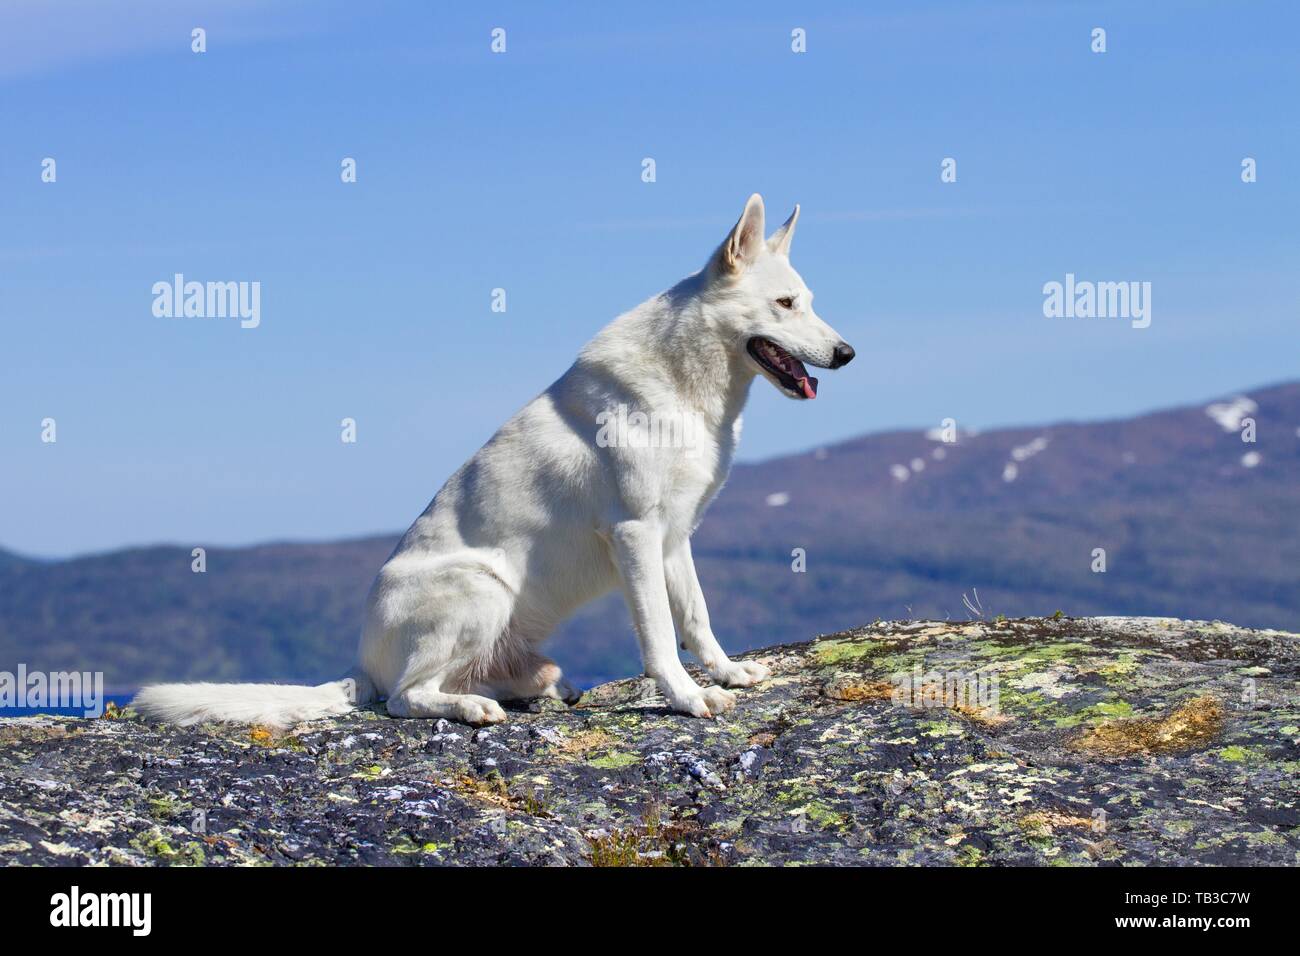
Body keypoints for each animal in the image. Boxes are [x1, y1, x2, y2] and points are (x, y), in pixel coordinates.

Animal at [137, 196, 857, 733]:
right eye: (786, 305)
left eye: (808, 300)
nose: (848, 354)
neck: (686, 386)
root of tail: (361, 665)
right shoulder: (635, 536)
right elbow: (657, 636)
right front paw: (686, 698)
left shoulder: (674, 538)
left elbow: (698, 619)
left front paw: (727, 672)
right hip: (483, 587)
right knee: (404, 696)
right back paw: (470, 709)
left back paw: (522, 690)